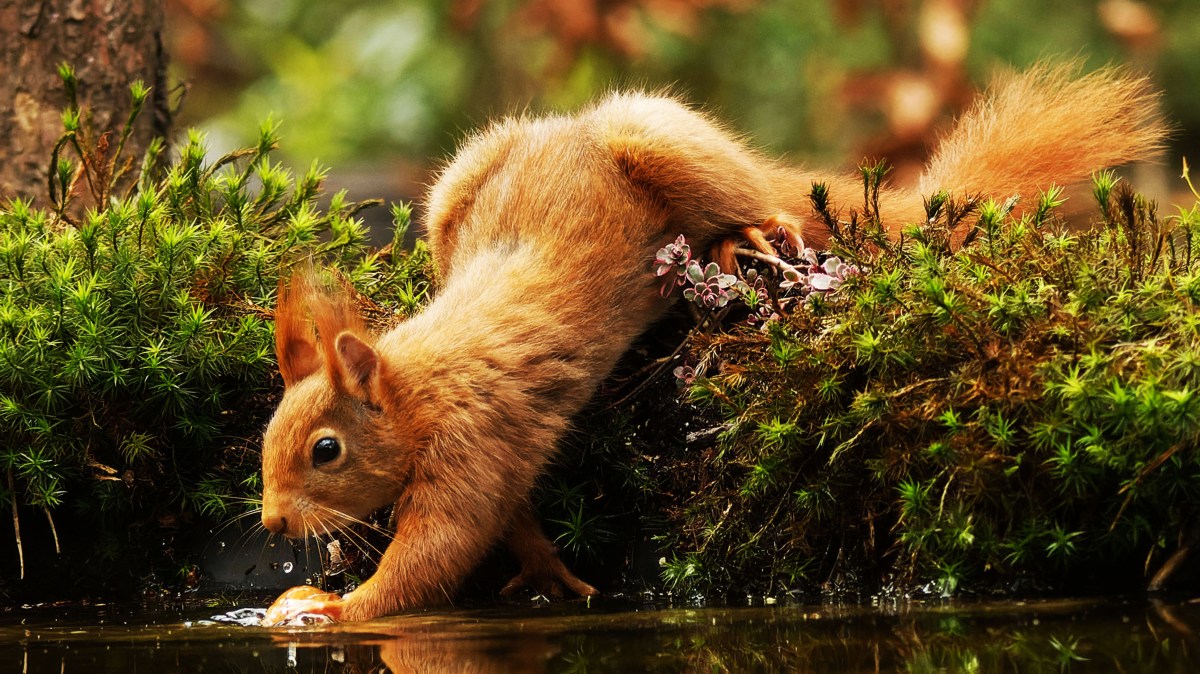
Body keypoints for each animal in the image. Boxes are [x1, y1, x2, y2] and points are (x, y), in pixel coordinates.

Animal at [258, 61, 1166, 618]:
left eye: (326, 451)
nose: (271, 526)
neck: (420, 385)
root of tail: (570, 125)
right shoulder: (500, 456)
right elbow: (508, 523)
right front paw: (548, 573)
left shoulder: (474, 440)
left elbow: (438, 551)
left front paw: (331, 608)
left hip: (671, 147)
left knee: (749, 202)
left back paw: (742, 241)